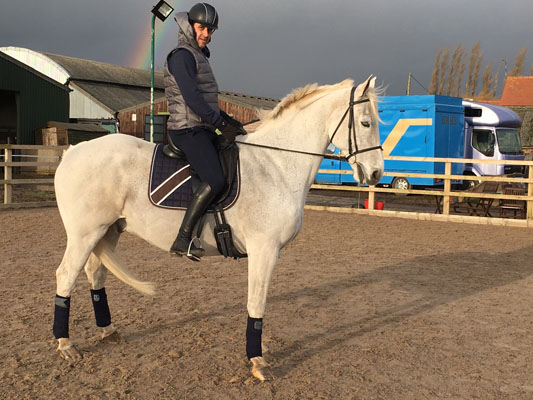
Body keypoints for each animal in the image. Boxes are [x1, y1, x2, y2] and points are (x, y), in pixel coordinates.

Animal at [53, 76, 382, 382]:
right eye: (365, 122)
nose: (376, 173)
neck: (275, 165)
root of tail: (72, 152)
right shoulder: (264, 249)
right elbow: (257, 302)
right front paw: (256, 360)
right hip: (85, 234)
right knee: (66, 275)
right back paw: (65, 344)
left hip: (107, 231)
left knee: (95, 274)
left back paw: (108, 331)